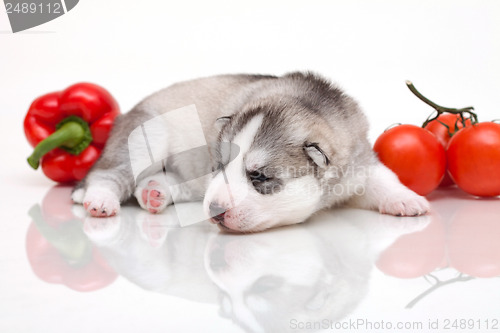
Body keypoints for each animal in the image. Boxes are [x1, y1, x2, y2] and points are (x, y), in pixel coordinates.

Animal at [71, 72, 430, 231]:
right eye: (218, 166)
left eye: (259, 177)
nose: (215, 210)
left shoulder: (358, 164)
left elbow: (383, 178)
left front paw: (406, 199)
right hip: (146, 135)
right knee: (107, 174)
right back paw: (100, 200)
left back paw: (155, 192)